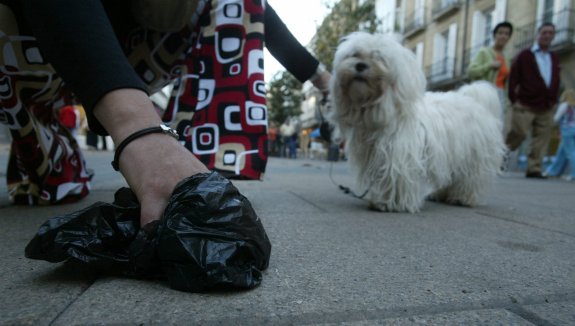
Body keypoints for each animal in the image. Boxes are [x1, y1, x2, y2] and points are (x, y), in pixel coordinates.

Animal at [330, 32, 506, 211]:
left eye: (379, 57)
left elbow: (395, 178)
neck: (382, 111)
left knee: (469, 179)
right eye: (355, 54)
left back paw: (463, 198)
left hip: (472, 157)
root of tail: (476, 102)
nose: (360, 65)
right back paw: (440, 194)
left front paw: (390, 203)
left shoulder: (398, 156)